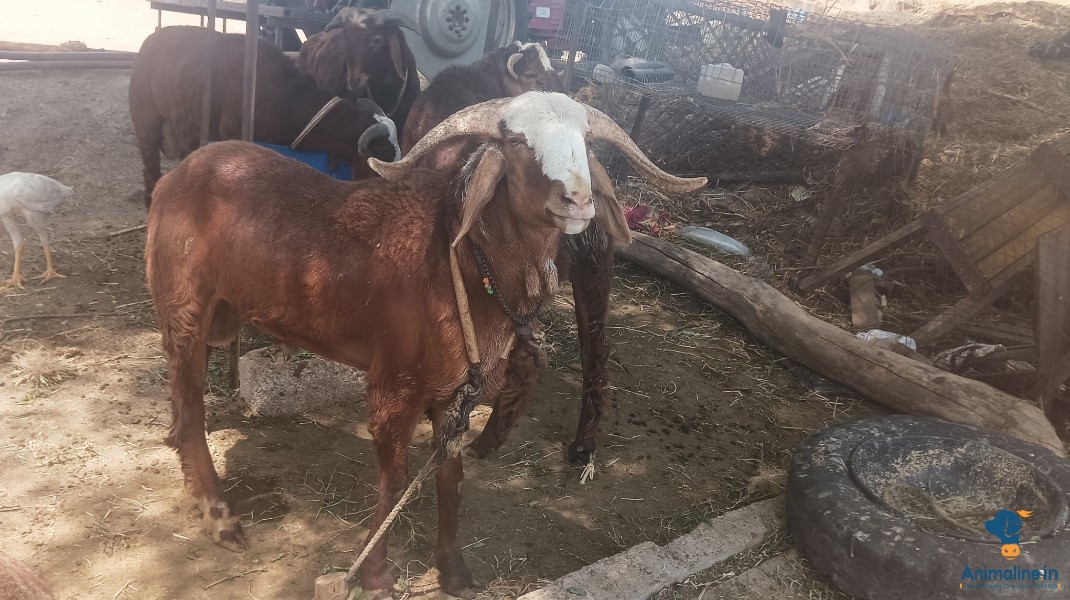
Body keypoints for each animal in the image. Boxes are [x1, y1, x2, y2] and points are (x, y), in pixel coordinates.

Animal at [145, 91, 705, 596]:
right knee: (191, 413)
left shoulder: (458, 391)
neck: (459, 263)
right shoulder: (394, 389)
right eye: (516, 142)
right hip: (183, 306)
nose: (578, 202)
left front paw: (453, 572)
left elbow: (449, 479)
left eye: (586, 141)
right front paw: (375, 575)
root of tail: (180, 171)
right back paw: (220, 516)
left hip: (220, 312)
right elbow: (395, 482)